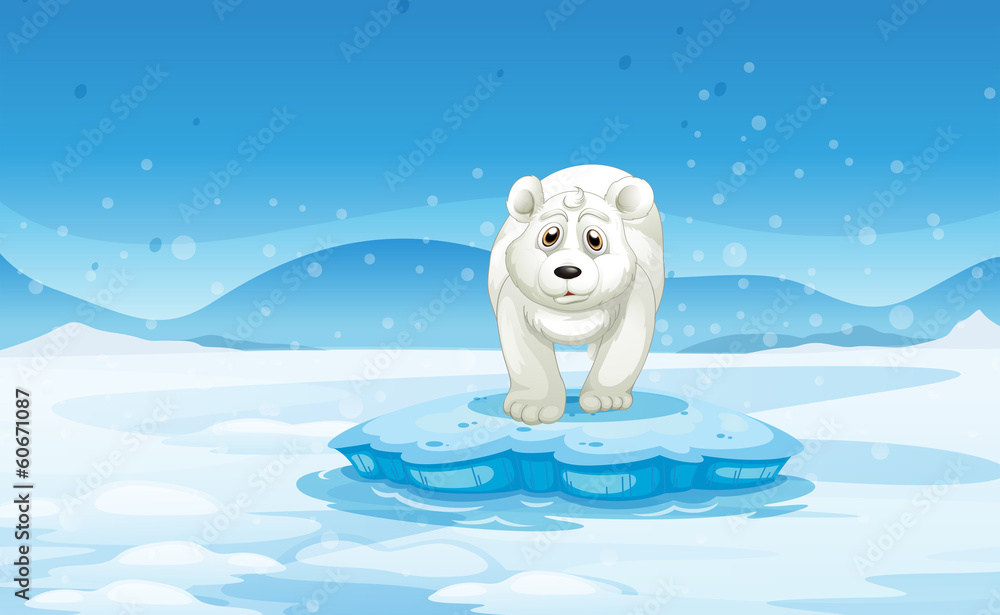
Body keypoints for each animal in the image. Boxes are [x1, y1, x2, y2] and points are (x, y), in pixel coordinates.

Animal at [488, 164, 664, 425]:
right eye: (550, 236)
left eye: (595, 239)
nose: (567, 270)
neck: (572, 312)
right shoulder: (514, 299)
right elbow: (528, 355)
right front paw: (532, 406)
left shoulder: (635, 295)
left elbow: (622, 349)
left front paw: (605, 399)